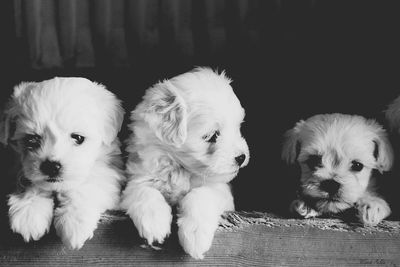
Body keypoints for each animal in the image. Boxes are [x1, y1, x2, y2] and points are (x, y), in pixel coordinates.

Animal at [0, 77, 124, 249]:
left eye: (78, 138)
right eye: (31, 139)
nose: (51, 166)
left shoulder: (110, 170)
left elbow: (88, 185)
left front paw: (74, 223)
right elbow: (28, 181)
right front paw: (29, 212)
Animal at [120, 67, 248, 260]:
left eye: (238, 127)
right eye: (212, 136)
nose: (241, 157)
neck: (180, 167)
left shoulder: (220, 191)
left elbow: (201, 195)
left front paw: (195, 235)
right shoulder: (138, 178)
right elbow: (144, 190)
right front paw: (154, 222)